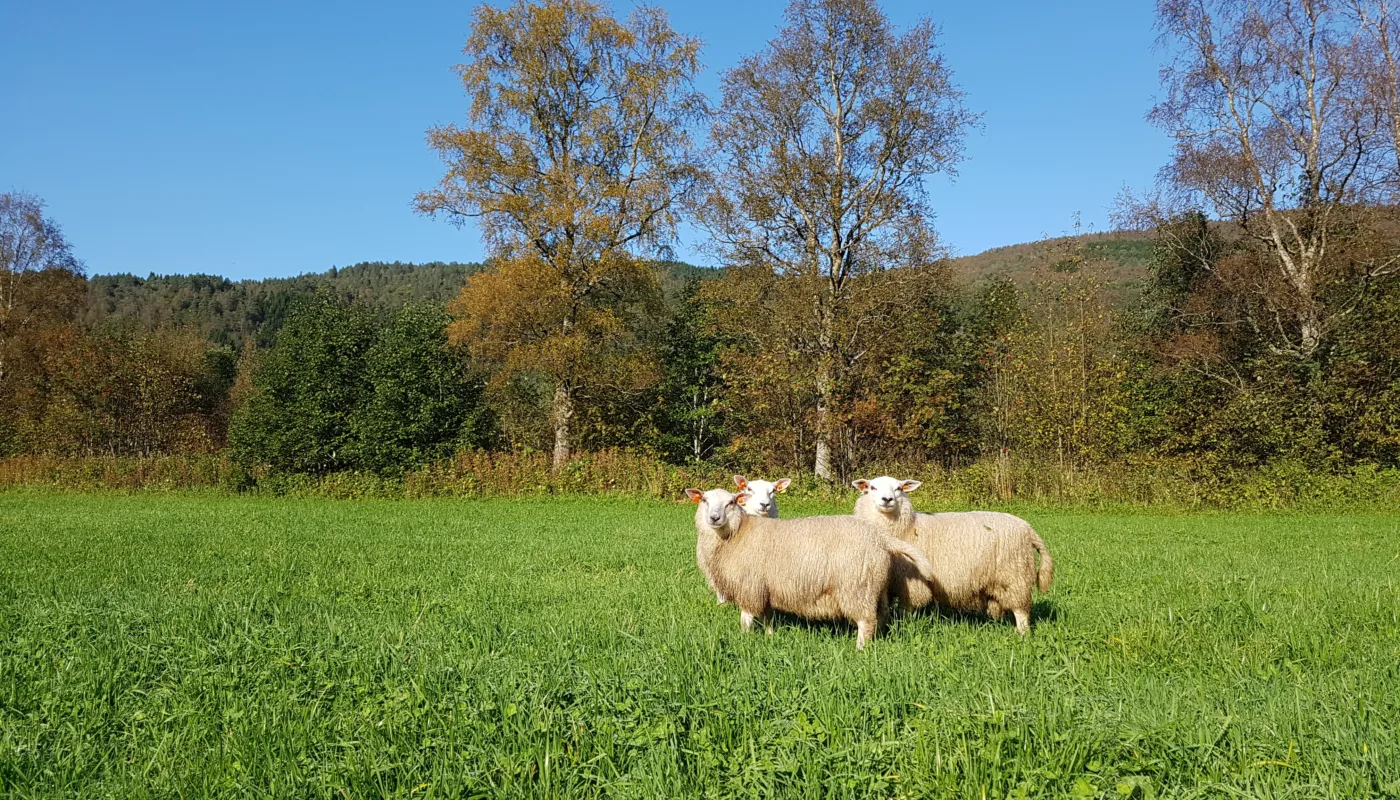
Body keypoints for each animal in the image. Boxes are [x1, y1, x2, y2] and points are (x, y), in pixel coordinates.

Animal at [684, 486, 935, 650]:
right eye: (704, 500)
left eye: (731, 502)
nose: (714, 518)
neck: (736, 534)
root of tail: (879, 537)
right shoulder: (765, 587)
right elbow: (767, 617)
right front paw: (770, 636)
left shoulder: (750, 586)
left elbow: (746, 618)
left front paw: (745, 640)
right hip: (875, 584)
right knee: (881, 614)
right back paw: (878, 640)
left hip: (855, 587)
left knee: (866, 621)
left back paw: (860, 650)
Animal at [851, 476, 1054, 636]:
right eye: (872, 487)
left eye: (899, 488)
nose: (887, 499)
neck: (905, 528)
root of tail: (1029, 529)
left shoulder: (909, 581)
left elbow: (906, 610)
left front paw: (906, 627)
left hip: (1015, 576)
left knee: (1021, 611)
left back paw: (1022, 635)